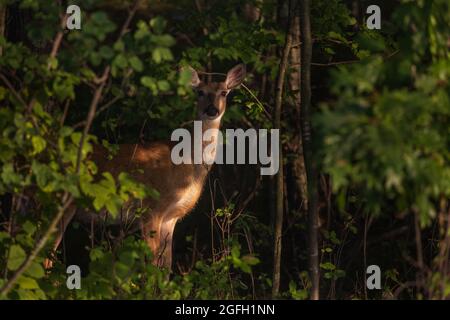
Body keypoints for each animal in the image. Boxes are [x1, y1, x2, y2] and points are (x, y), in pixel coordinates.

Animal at [45, 63, 246, 272]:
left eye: (224, 92)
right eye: (200, 92)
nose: (211, 110)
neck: (187, 165)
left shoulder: (171, 217)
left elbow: (166, 266)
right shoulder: (151, 208)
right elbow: (152, 263)